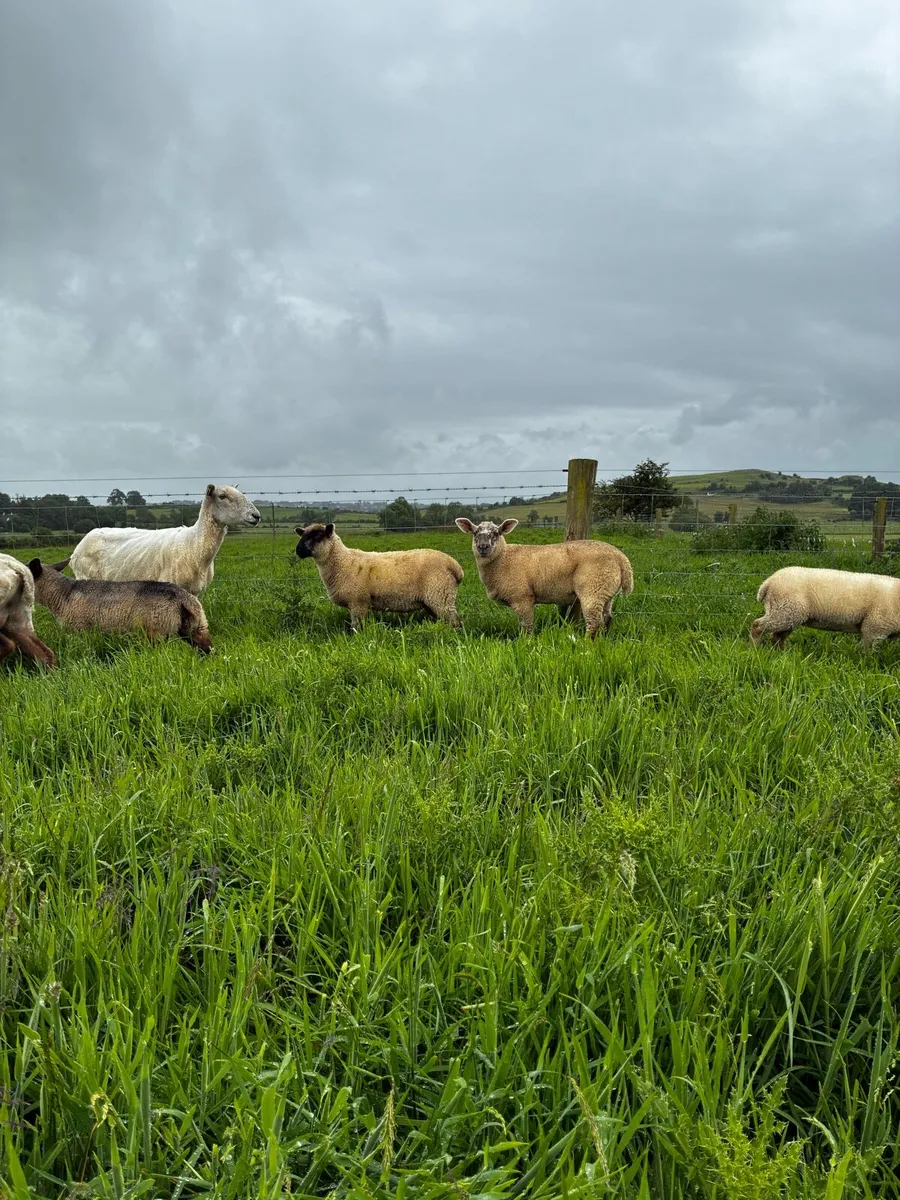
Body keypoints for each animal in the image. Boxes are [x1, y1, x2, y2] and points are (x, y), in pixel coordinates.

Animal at [28, 558, 213, 653]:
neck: (63, 594)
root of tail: (183, 598)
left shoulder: (79, 630)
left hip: (156, 632)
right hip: (197, 626)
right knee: (207, 648)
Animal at [294, 523, 464, 631]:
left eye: (317, 536)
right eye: (302, 535)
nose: (298, 550)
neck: (342, 562)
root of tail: (455, 566)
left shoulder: (358, 602)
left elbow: (357, 628)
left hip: (440, 596)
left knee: (455, 621)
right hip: (433, 601)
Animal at [455, 517, 633, 638]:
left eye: (496, 533)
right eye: (475, 533)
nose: (483, 547)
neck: (503, 559)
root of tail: (621, 558)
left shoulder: (522, 598)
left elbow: (526, 626)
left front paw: (524, 644)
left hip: (593, 587)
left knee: (595, 622)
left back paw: (587, 644)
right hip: (606, 590)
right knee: (607, 618)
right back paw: (604, 640)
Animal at [750, 566, 900, 650]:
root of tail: (768, 582)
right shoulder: (874, 627)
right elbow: (867, 651)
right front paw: (866, 664)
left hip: (786, 612)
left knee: (777, 637)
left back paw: (781, 654)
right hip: (785, 610)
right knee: (757, 626)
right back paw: (756, 649)